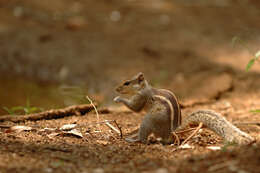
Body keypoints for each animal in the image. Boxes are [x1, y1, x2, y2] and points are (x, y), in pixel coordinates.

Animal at [114, 71, 254, 145]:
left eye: (127, 83)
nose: (116, 89)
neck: (144, 88)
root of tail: (172, 132)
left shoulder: (141, 97)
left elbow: (134, 108)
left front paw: (118, 99)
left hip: (149, 120)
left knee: (144, 139)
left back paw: (133, 139)